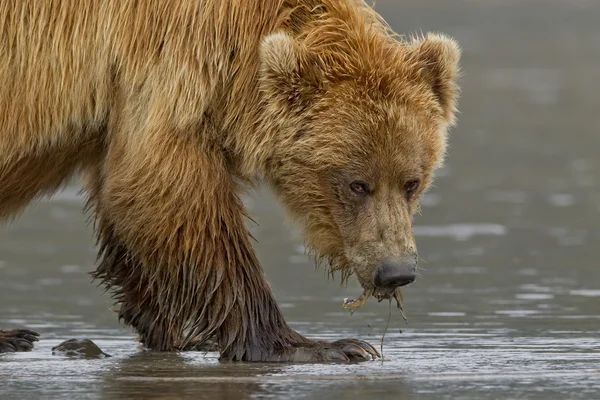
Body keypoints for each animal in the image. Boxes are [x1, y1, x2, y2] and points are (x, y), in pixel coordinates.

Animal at [0, 0, 460, 362]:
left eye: (412, 182)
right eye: (357, 184)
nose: (395, 272)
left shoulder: (118, 111)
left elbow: (125, 204)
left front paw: (173, 333)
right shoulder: (168, 67)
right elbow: (170, 195)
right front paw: (320, 345)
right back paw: (14, 335)